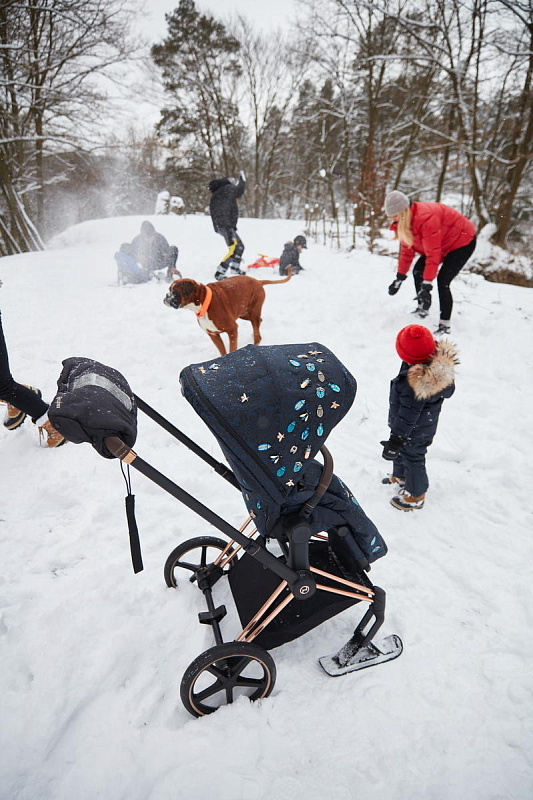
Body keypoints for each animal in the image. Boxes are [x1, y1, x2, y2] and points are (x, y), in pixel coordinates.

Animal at [163, 269, 292, 356]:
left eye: (174, 292)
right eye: (169, 291)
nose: (165, 298)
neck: (203, 303)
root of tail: (258, 281)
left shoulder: (232, 330)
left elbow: (232, 349)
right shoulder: (213, 334)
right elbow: (222, 351)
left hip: (253, 311)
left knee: (257, 334)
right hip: (244, 314)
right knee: (259, 321)